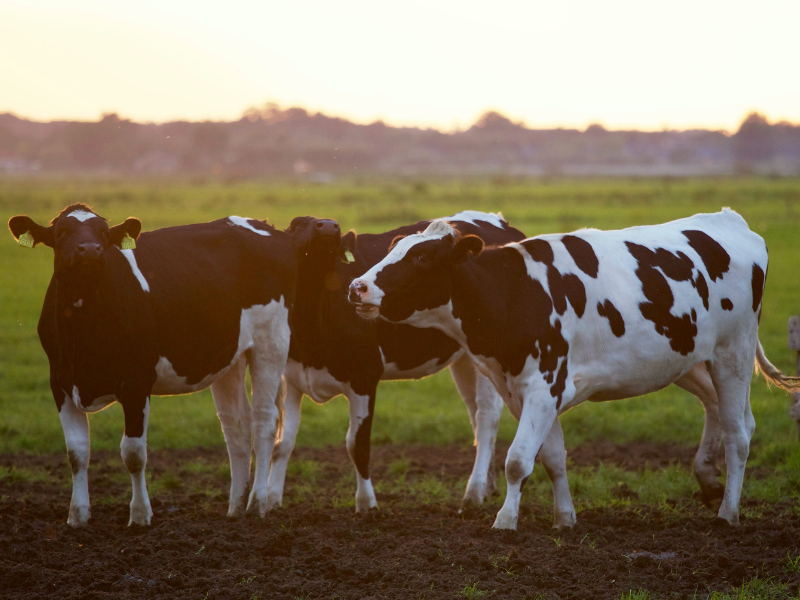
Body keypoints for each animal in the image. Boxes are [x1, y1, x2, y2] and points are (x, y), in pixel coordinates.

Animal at [8, 204, 295, 526]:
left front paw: (140, 515)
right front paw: (78, 516)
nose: (90, 250)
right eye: (62, 232)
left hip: (271, 342)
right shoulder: (60, 383)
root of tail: (265, 226)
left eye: (103, 233)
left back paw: (257, 504)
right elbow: (76, 452)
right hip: (229, 356)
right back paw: (234, 507)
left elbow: (133, 453)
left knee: (264, 421)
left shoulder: (136, 383)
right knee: (236, 426)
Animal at [266, 212, 526, 513]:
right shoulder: (291, 378)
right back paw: (488, 486)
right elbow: (282, 442)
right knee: (474, 414)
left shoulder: (365, 376)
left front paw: (367, 505)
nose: (329, 226)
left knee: (486, 417)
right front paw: (270, 501)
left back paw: (473, 493)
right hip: (465, 358)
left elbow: (357, 444)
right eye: (297, 224)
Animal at [348, 209, 800, 529]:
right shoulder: (524, 391)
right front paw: (564, 518)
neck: (515, 293)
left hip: (733, 352)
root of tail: (730, 220)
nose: (357, 286)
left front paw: (505, 521)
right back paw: (709, 482)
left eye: (422, 257)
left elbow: (517, 460)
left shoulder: (544, 386)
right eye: (393, 249)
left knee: (739, 433)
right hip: (686, 358)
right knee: (724, 411)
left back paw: (728, 513)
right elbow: (552, 458)